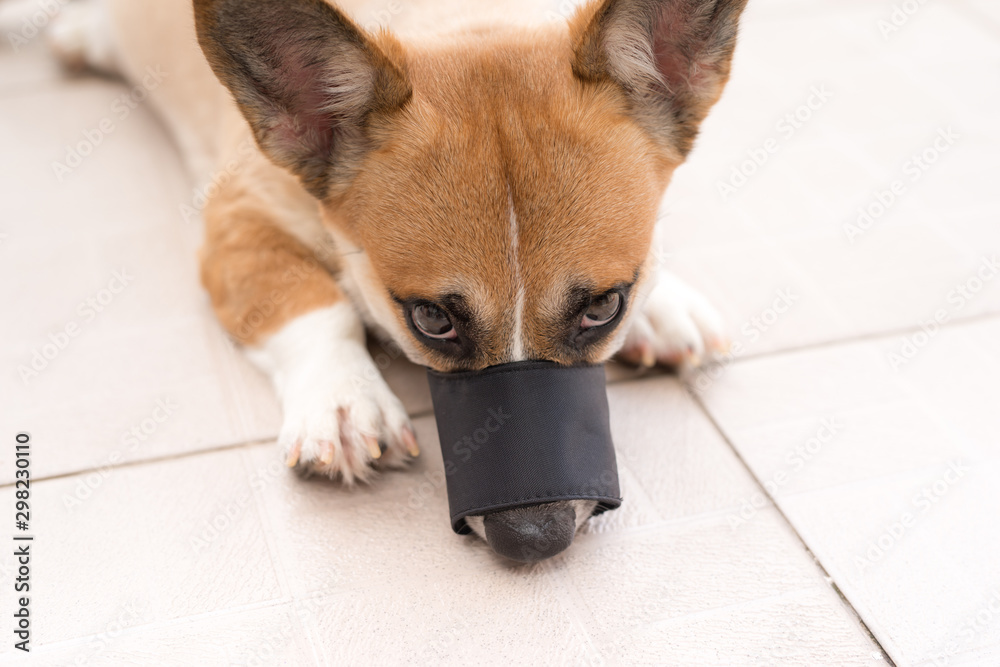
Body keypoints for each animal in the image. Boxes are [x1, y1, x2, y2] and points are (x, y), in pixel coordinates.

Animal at [48, 0, 752, 564]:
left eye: (604, 306)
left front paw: (664, 306)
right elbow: (316, 307)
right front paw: (343, 400)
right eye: (432, 320)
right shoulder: (238, 219)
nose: (535, 540)